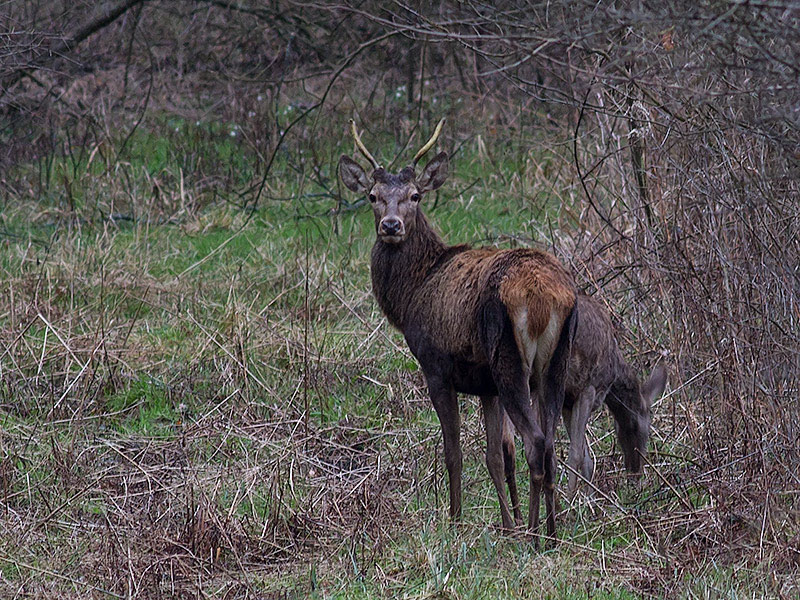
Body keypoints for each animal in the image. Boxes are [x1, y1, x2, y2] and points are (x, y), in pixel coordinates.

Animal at [340, 119, 580, 540]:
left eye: (415, 195)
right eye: (372, 196)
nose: (391, 225)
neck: (413, 294)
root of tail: (544, 297)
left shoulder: (435, 365)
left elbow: (454, 452)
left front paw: (455, 520)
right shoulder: (485, 386)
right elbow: (497, 455)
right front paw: (507, 523)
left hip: (508, 357)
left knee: (536, 441)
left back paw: (535, 535)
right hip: (555, 361)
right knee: (549, 443)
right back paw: (550, 531)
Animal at [496, 292, 664, 512]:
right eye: (637, 426)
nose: (635, 473)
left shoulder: (569, 401)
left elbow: (586, 459)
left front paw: (590, 502)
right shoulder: (588, 389)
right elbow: (576, 454)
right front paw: (573, 504)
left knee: (508, 444)